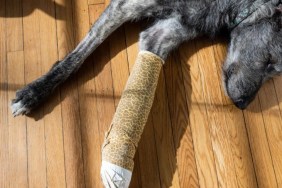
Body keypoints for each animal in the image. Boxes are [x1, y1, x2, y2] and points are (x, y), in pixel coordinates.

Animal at [11, 0, 282, 115]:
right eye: (271, 62)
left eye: (273, 71)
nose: (243, 105)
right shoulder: (126, 5)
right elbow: (77, 57)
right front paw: (34, 93)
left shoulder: (161, 35)